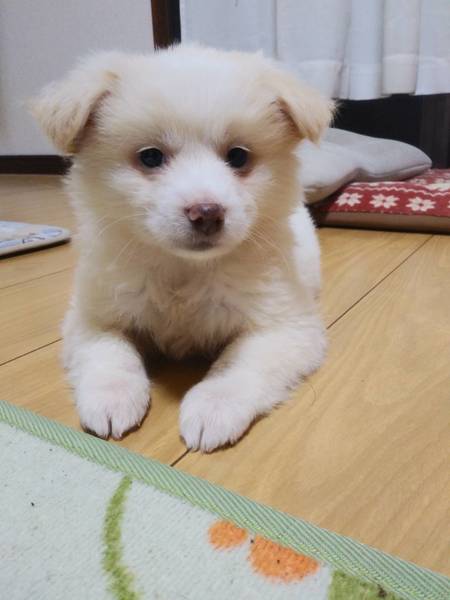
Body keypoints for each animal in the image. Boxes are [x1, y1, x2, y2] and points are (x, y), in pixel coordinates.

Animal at [31, 44, 333, 452]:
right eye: (150, 157)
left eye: (238, 156)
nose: (206, 213)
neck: (184, 268)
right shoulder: (92, 317)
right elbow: (110, 353)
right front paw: (111, 398)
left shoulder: (284, 327)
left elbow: (239, 365)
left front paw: (213, 409)